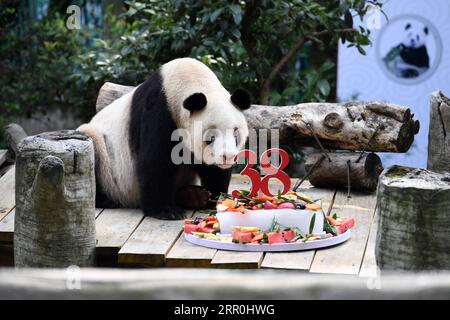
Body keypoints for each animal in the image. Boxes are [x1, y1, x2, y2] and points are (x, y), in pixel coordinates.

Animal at [77, 57, 250, 220]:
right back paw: (106, 200)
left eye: (236, 134)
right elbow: (155, 160)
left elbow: (213, 169)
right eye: (211, 136)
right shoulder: (159, 110)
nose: (228, 157)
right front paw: (166, 211)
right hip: (106, 157)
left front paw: (216, 199)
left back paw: (194, 196)